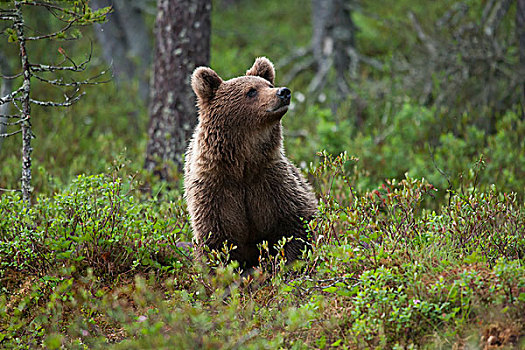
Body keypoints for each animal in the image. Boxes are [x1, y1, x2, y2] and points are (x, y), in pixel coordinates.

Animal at [184, 56, 316, 268]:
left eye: (269, 84)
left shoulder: (272, 182)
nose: (283, 92)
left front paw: (290, 263)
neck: (243, 163)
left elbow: (297, 222)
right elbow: (215, 241)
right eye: (251, 91)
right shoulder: (214, 192)